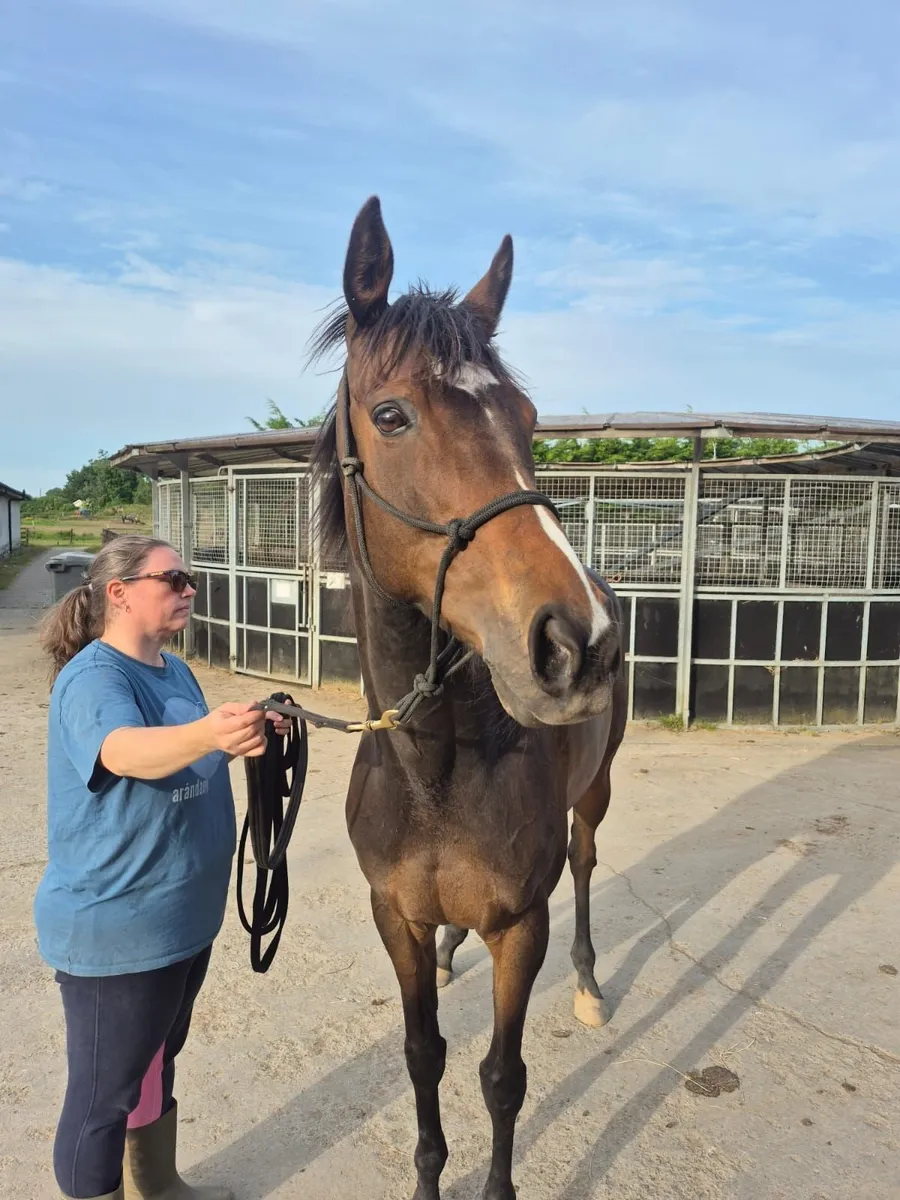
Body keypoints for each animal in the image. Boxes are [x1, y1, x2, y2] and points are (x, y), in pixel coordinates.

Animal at [310, 196, 627, 1200]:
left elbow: (500, 1076)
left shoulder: (521, 924)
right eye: (392, 414)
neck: (435, 766)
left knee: (588, 865)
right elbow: (424, 1057)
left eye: (527, 419)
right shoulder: (397, 919)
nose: (578, 643)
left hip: (596, 794)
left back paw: (590, 985)